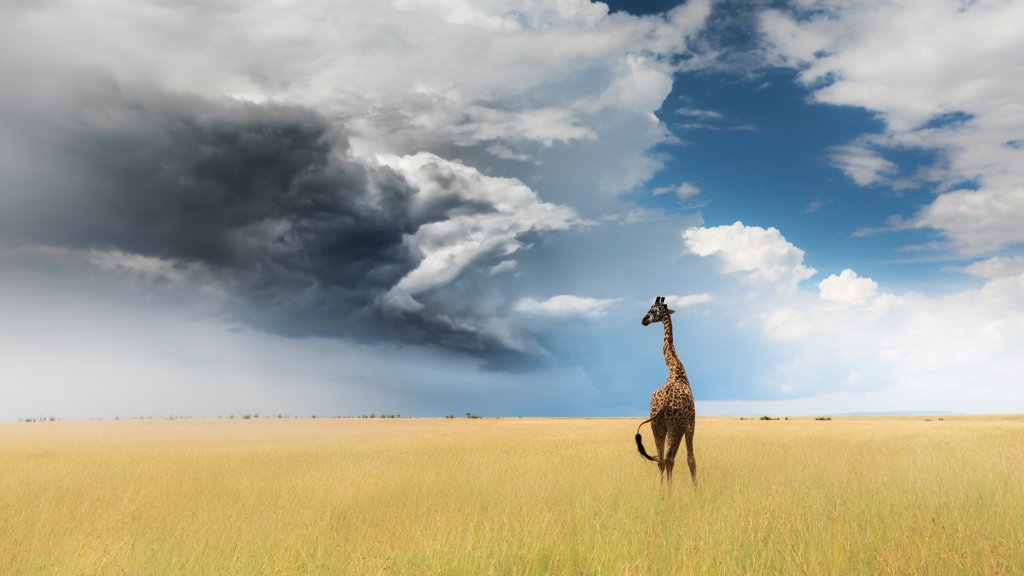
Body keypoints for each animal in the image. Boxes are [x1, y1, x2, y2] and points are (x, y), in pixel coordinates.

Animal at [635, 296, 697, 486]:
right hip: (674, 427)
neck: (675, 370)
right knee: (669, 459)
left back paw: (662, 491)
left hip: (658, 426)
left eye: (652, 310)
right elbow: (691, 460)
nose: (643, 320)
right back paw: (669, 491)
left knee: (661, 460)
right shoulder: (691, 422)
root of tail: (662, 406)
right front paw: (697, 489)